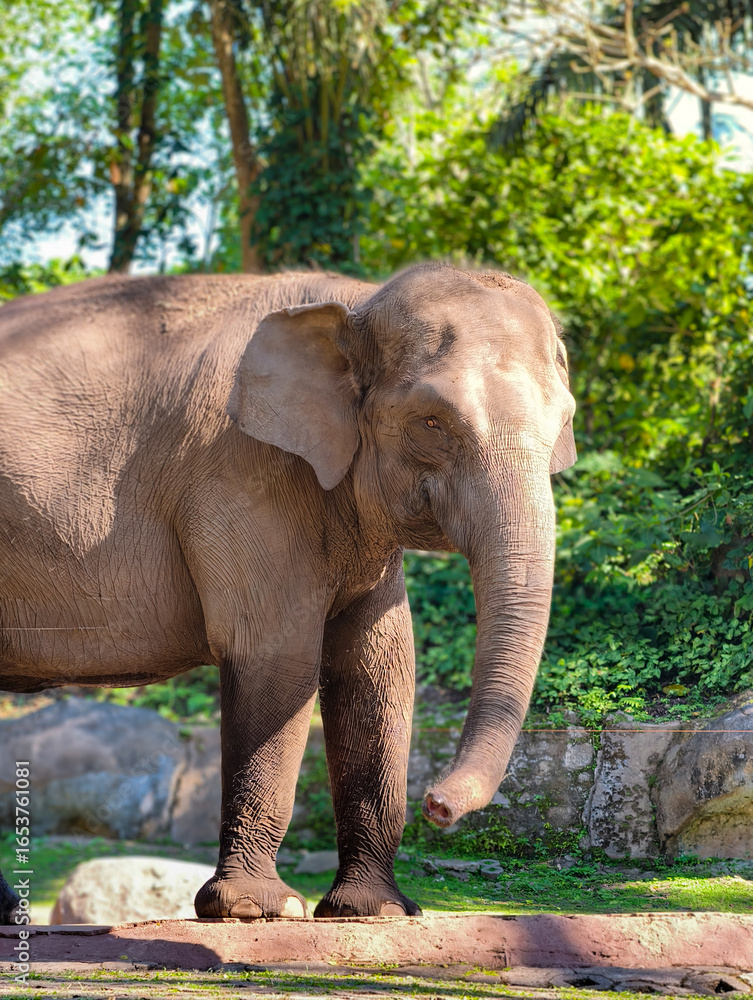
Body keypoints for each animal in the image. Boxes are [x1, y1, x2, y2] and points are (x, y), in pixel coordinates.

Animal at [0, 262, 576, 922]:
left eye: (563, 422)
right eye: (432, 421)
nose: (437, 806)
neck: (356, 301)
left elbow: (378, 668)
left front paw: (372, 911)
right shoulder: (240, 468)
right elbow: (279, 655)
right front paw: (259, 910)